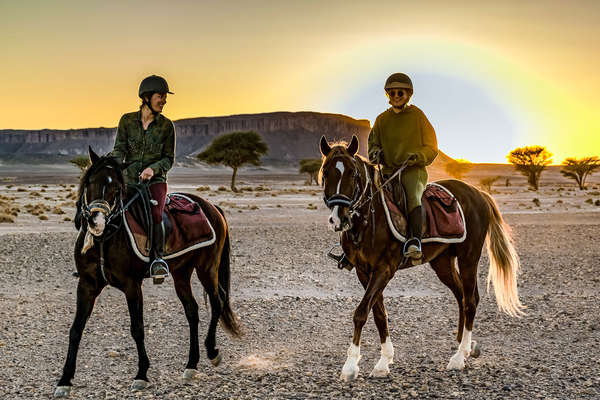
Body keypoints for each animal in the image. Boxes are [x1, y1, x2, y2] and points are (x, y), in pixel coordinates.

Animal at [53, 149, 241, 396]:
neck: (106, 238)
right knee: (192, 310)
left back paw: (212, 352)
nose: (96, 221)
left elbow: (137, 328)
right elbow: (76, 329)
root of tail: (211, 207)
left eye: (117, 189)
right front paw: (64, 380)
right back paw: (191, 365)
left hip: (207, 268)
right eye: (90, 181)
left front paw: (141, 374)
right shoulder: (86, 284)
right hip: (181, 273)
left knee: (217, 302)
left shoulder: (132, 286)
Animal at [318, 136, 524, 380]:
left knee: (470, 301)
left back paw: (459, 356)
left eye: (353, 173)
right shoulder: (363, 271)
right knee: (461, 296)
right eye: (326, 172)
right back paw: (466, 347)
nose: (338, 218)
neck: (369, 220)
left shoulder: (384, 269)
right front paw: (384, 361)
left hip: (468, 257)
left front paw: (350, 366)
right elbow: (379, 314)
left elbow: (361, 312)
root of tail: (478, 193)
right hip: (442, 262)